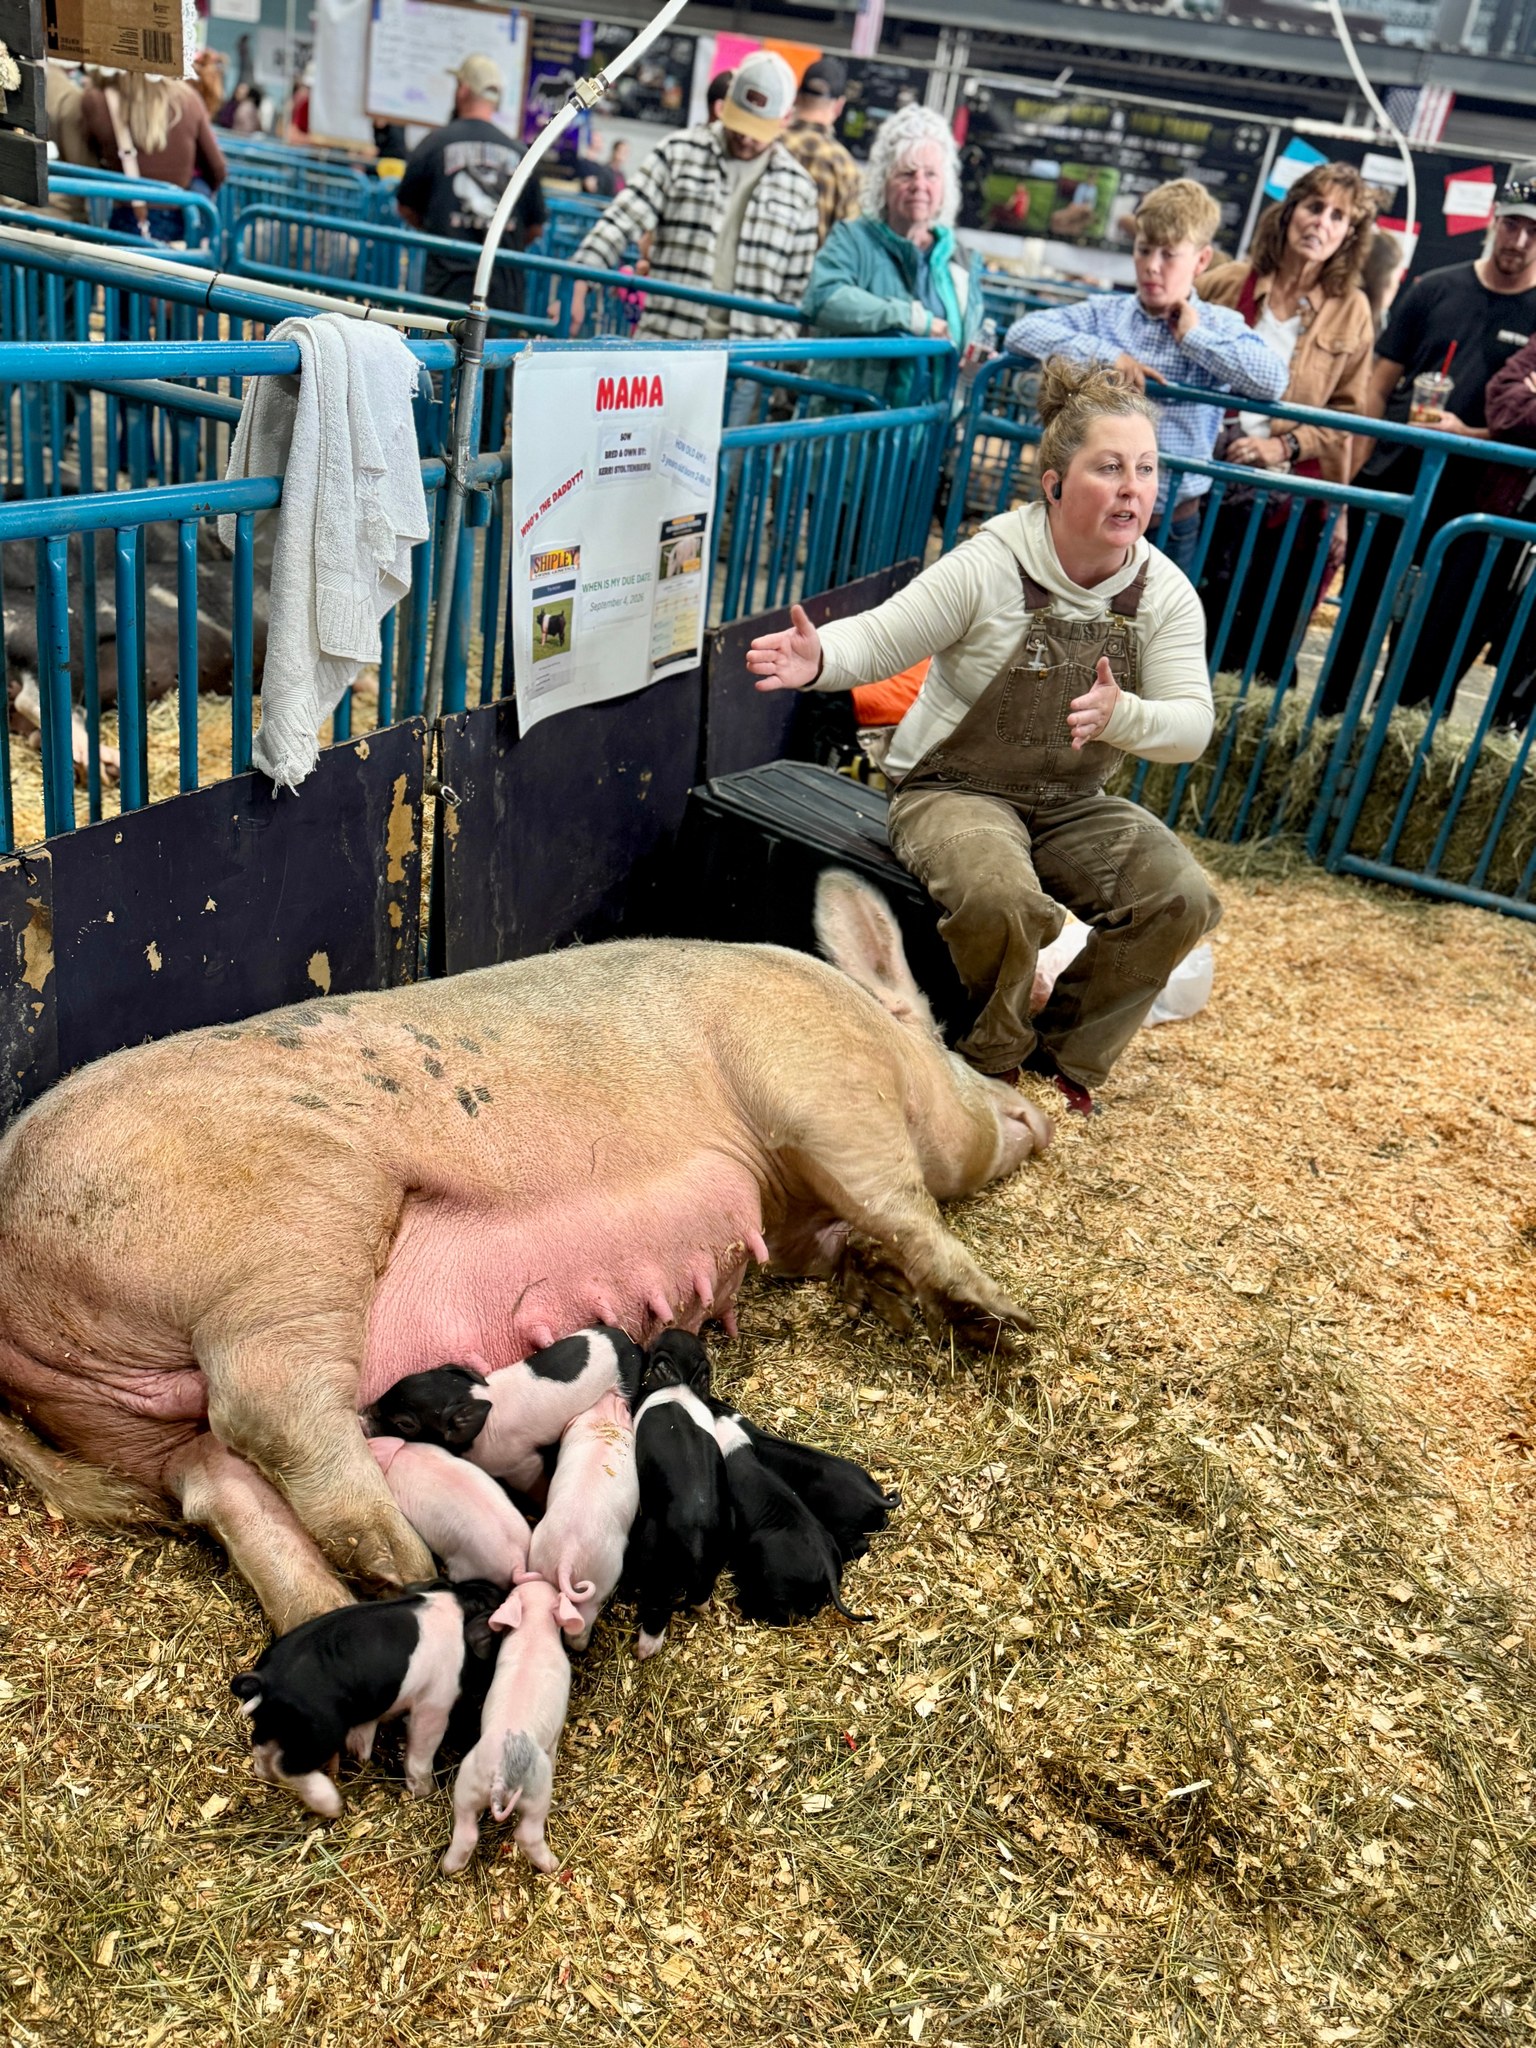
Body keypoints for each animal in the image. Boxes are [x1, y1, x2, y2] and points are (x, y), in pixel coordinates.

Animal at [230, 1578, 502, 1816]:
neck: (461, 1605)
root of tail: (266, 1679)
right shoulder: (436, 1699)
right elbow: (422, 1746)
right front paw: (426, 1792)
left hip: (270, 1721)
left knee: (260, 1744)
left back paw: (265, 1774)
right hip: (320, 1731)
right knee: (287, 1765)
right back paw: (333, 1807)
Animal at [441, 1574, 572, 1875]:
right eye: (552, 1593)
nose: (541, 1579)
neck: (533, 1627)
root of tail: (501, 1777)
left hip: (468, 1783)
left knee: (466, 1830)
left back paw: (446, 1867)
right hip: (536, 1791)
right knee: (527, 1833)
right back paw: (553, 1865)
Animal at [500, 1388, 638, 1649]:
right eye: (626, 1409)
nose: (611, 1391)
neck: (599, 1422)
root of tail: (567, 1556)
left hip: (541, 1560)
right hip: (603, 1573)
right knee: (582, 1623)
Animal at [626, 1346, 729, 1659]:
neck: (681, 1383)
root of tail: (696, 1546)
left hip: (654, 1553)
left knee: (656, 1609)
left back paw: (640, 1651)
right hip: (715, 1558)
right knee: (700, 1598)